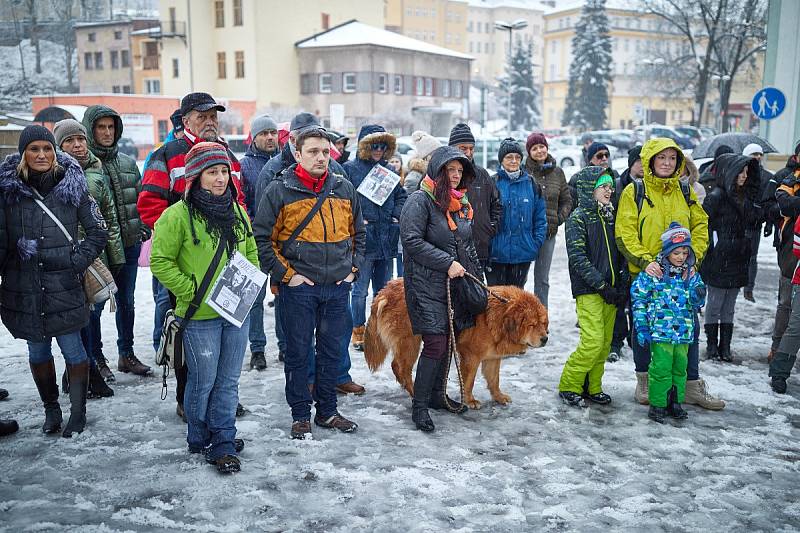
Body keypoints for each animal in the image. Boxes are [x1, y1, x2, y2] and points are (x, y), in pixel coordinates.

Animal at [364, 278, 548, 408]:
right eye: (532, 325)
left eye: (543, 323)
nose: (545, 338)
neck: (499, 315)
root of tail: (384, 292)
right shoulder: (471, 356)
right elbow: (469, 381)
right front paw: (469, 400)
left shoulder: (492, 357)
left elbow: (494, 379)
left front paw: (498, 397)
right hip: (411, 342)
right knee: (400, 367)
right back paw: (414, 391)